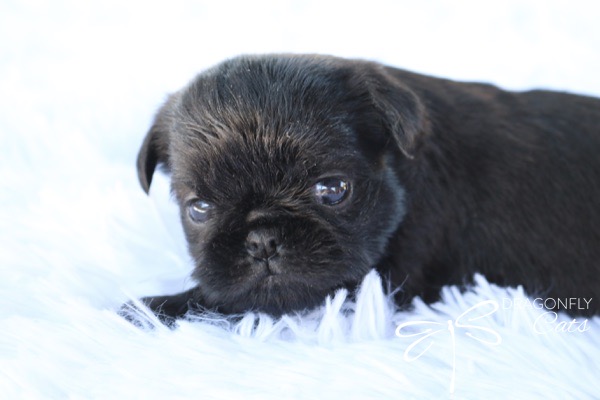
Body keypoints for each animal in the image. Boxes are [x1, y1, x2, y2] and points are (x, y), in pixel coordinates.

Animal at [132, 54, 600, 322]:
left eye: (333, 190)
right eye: (200, 209)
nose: (262, 240)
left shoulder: (378, 281)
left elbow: (226, 300)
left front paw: (152, 307)